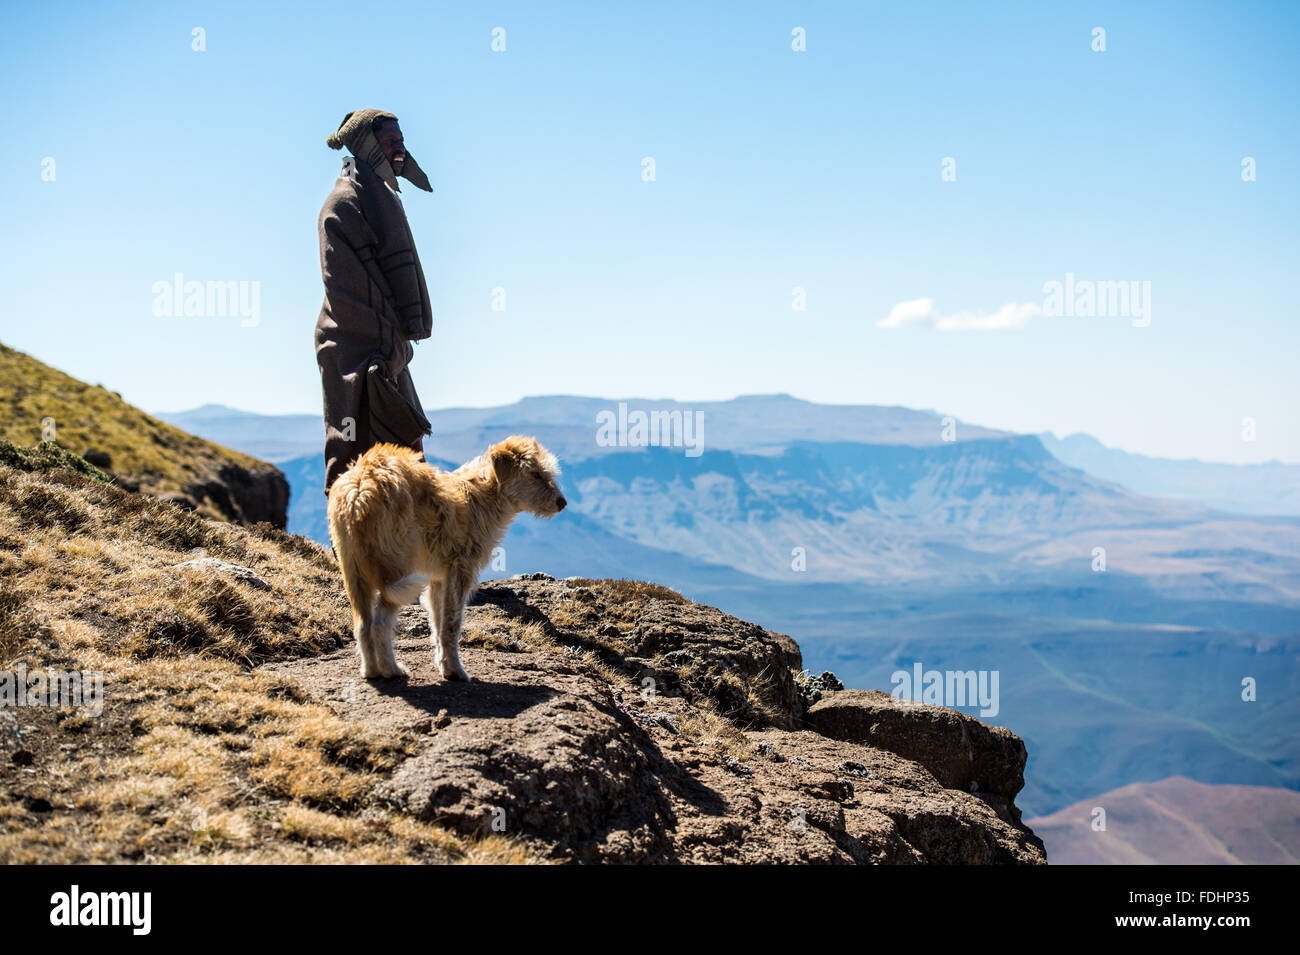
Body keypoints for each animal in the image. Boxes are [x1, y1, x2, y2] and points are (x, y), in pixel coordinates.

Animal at [325, 436, 564, 686]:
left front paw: (444, 667)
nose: (562, 502)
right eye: (535, 473)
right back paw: (392, 669)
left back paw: (372, 671)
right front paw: (455, 671)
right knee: (380, 623)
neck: (484, 495)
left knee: (363, 625)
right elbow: (451, 625)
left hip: (353, 570)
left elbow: (438, 625)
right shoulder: (460, 571)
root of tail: (361, 489)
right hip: (397, 568)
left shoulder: (438, 579)